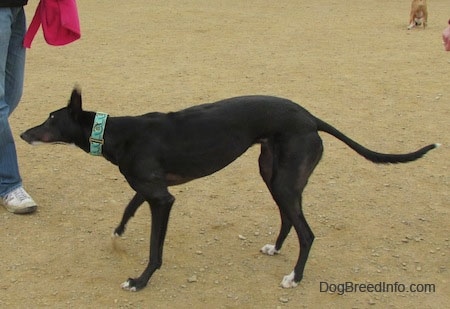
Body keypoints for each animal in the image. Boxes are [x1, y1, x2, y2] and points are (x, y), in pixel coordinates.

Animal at [19, 88, 438, 290]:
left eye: (50, 119)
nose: (23, 133)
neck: (116, 132)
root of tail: (310, 118)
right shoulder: (152, 188)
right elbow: (129, 206)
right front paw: (118, 233)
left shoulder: (163, 199)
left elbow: (155, 248)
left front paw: (140, 281)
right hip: (273, 175)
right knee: (289, 219)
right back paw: (275, 249)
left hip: (285, 180)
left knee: (307, 232)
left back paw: (295, 277)